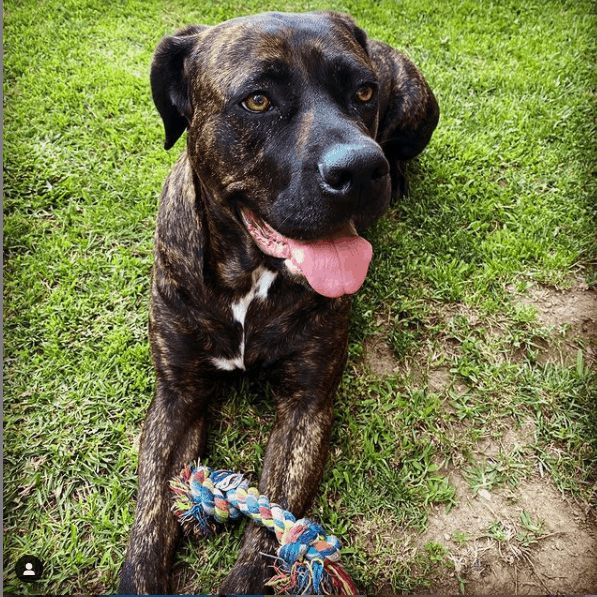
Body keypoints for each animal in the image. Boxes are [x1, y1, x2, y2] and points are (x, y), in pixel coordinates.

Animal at [120, 11, 438, 592]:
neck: (250, 276)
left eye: (363, 92)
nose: (361, 168)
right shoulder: (177, 396)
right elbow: (152, 513)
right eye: (258, 100)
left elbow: (272, 532)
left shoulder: (306, 406)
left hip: (417, 109)